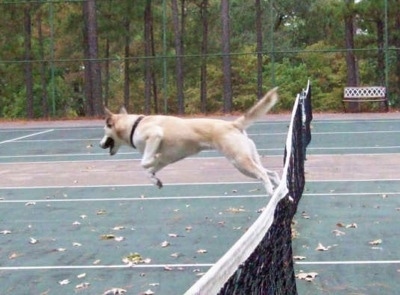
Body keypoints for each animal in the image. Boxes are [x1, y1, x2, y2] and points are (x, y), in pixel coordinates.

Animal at [100, 88, 280, 197]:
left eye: (104, 129)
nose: (100, 144)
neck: (134, 125)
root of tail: (233, 124)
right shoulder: (165, 160)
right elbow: (149, 172)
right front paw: (155, 181)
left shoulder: (154, 135)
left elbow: (144, 163)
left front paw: (150, 162)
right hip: (245, 161)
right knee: (272, 173)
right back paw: (281, 190)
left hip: (240, 161)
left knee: (264, 174)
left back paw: (271, 192)